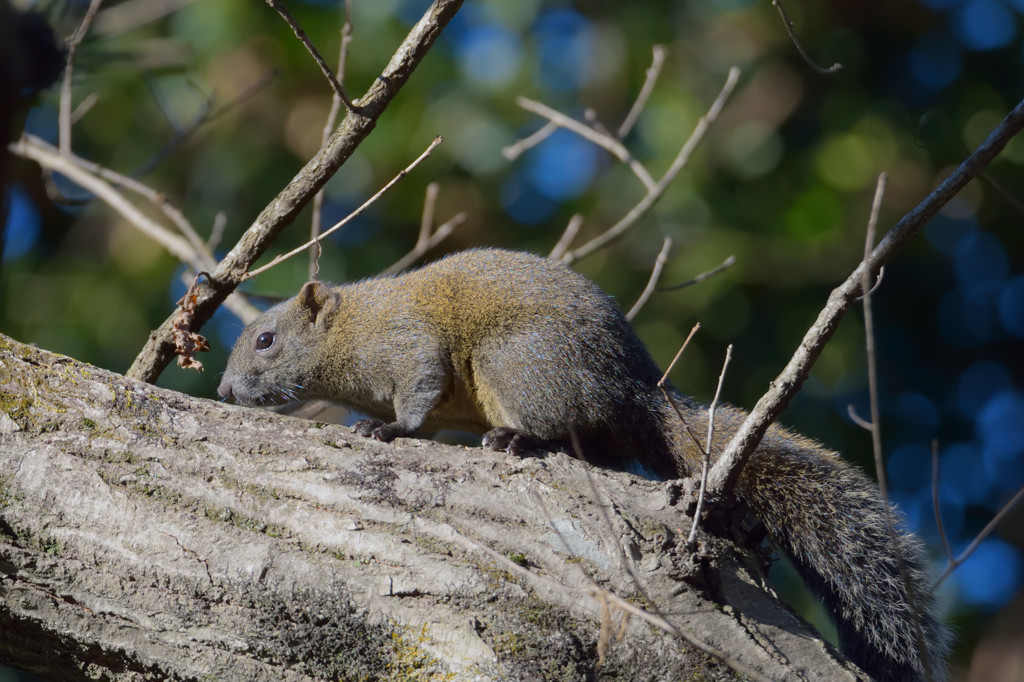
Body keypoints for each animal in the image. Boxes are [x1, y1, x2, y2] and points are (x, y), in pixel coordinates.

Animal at [222, 248, 950, 679]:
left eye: (266, 340)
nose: (225, 392)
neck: (351, 333)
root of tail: (636, 391)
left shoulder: (409, 348)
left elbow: (418, 397)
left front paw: (386, 427)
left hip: (518, 365)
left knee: (563, 431)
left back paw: (517, 441)